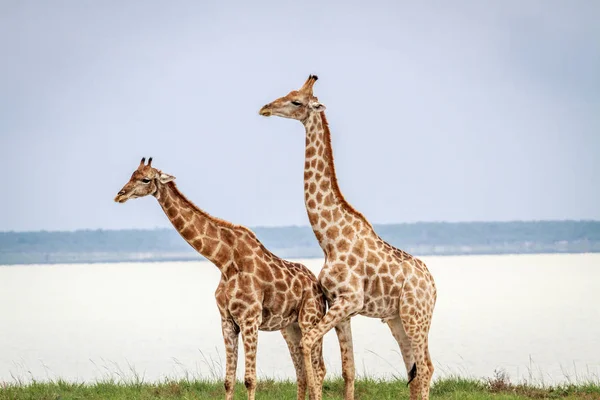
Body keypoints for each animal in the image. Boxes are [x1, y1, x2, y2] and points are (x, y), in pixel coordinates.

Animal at [113, 157, 328, 400]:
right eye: (132, 174)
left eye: (145, 179)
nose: (120, 195)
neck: (224, 262)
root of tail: (319, 288)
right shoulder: (227, 320)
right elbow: (228, 380)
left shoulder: (249, 319)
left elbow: (250, 379)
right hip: (290, 327)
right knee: (302, 371)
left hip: (309, 319)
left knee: (318, 369)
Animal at [260, 76, 438, 400]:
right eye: (289, 93)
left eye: (296, 101)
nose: (265, 108)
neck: (330, 239)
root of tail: (433, 286)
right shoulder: (342, 308)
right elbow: (348, 370)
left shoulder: (350, 300)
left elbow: (308, 344)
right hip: (397, 318)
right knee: (415, 370)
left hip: (416, 315)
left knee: (426, 368)